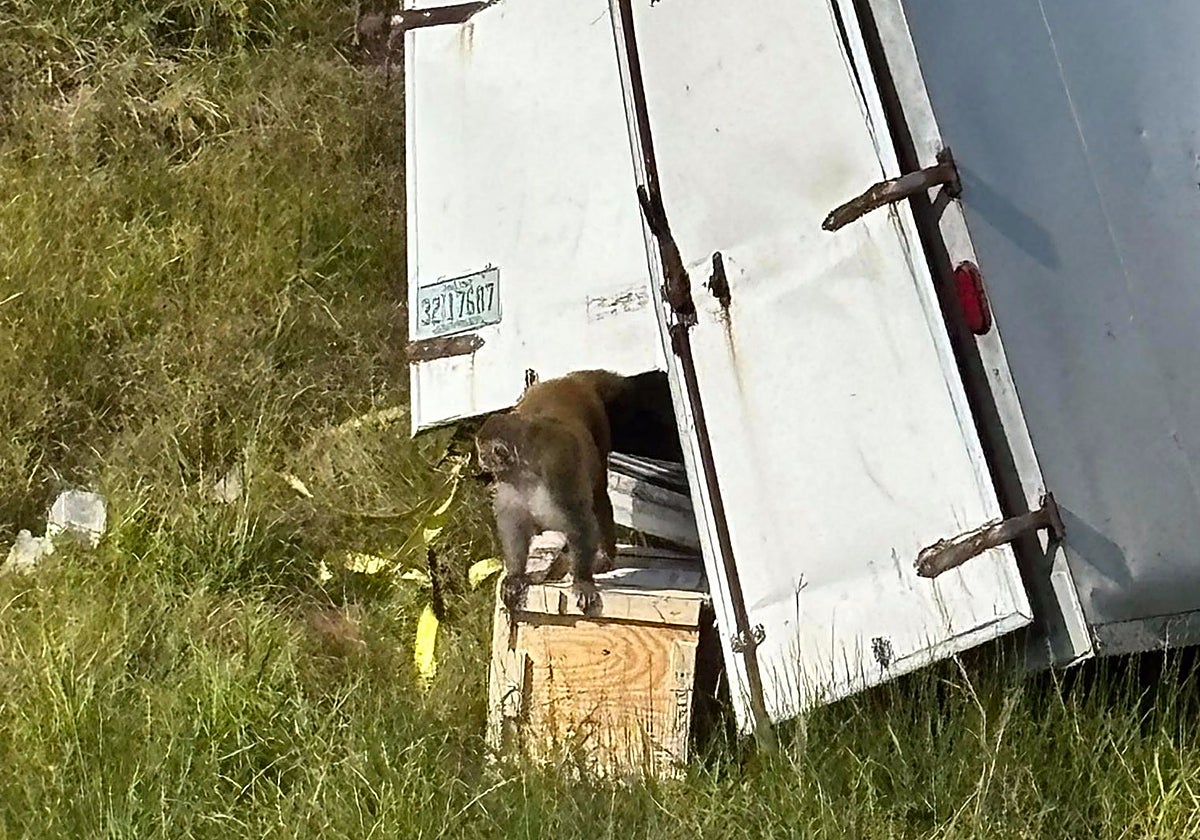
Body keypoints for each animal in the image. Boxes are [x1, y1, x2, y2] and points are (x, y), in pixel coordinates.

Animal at [476, 370, 633, 617]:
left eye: (483, 453)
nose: (480, 461)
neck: (526, 469)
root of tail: (568, 380)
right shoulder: (509, 484)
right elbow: (514, 525)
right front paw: (516, 575)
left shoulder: (558, 469)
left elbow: (579, 520)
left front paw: (582, 581)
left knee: (598, 495)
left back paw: (605, 555)